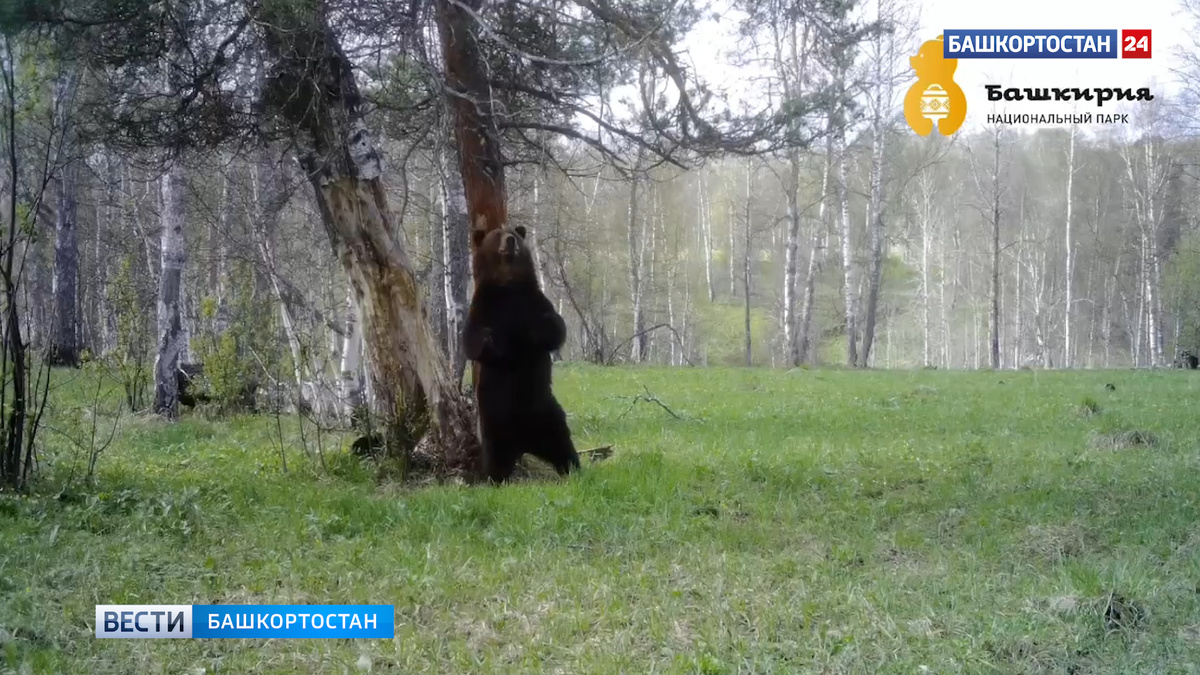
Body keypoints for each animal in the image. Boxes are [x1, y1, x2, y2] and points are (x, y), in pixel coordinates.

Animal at [463, 225, 580, 483]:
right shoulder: (484, 304)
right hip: (494, 417)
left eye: (513, 233)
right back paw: (496, 478)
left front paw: (537, 328)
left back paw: (573, 468)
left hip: (545, 411)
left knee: (562, 442)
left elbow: (556, 325)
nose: (509, 241)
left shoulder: (532, 300)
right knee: (495, 453)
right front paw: (487, 338)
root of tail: (524, 443)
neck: (507, 284)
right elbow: (470, 339)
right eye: (497, 235)